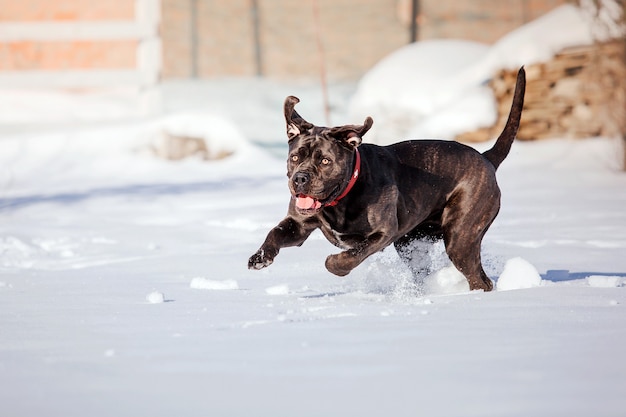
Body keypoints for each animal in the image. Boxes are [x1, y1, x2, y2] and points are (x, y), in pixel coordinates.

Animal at [246, 66, 524, 290]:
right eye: (295, 157)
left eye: (325, 161)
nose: (300, 179)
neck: (342, 197)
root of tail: (486, 158)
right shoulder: (299, 224)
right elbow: (274, 233)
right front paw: (260, 258)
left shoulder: (383, 233)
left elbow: (352, 255)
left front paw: (334, 264)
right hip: (413, 242)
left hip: (461, 237)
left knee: (479, 278)